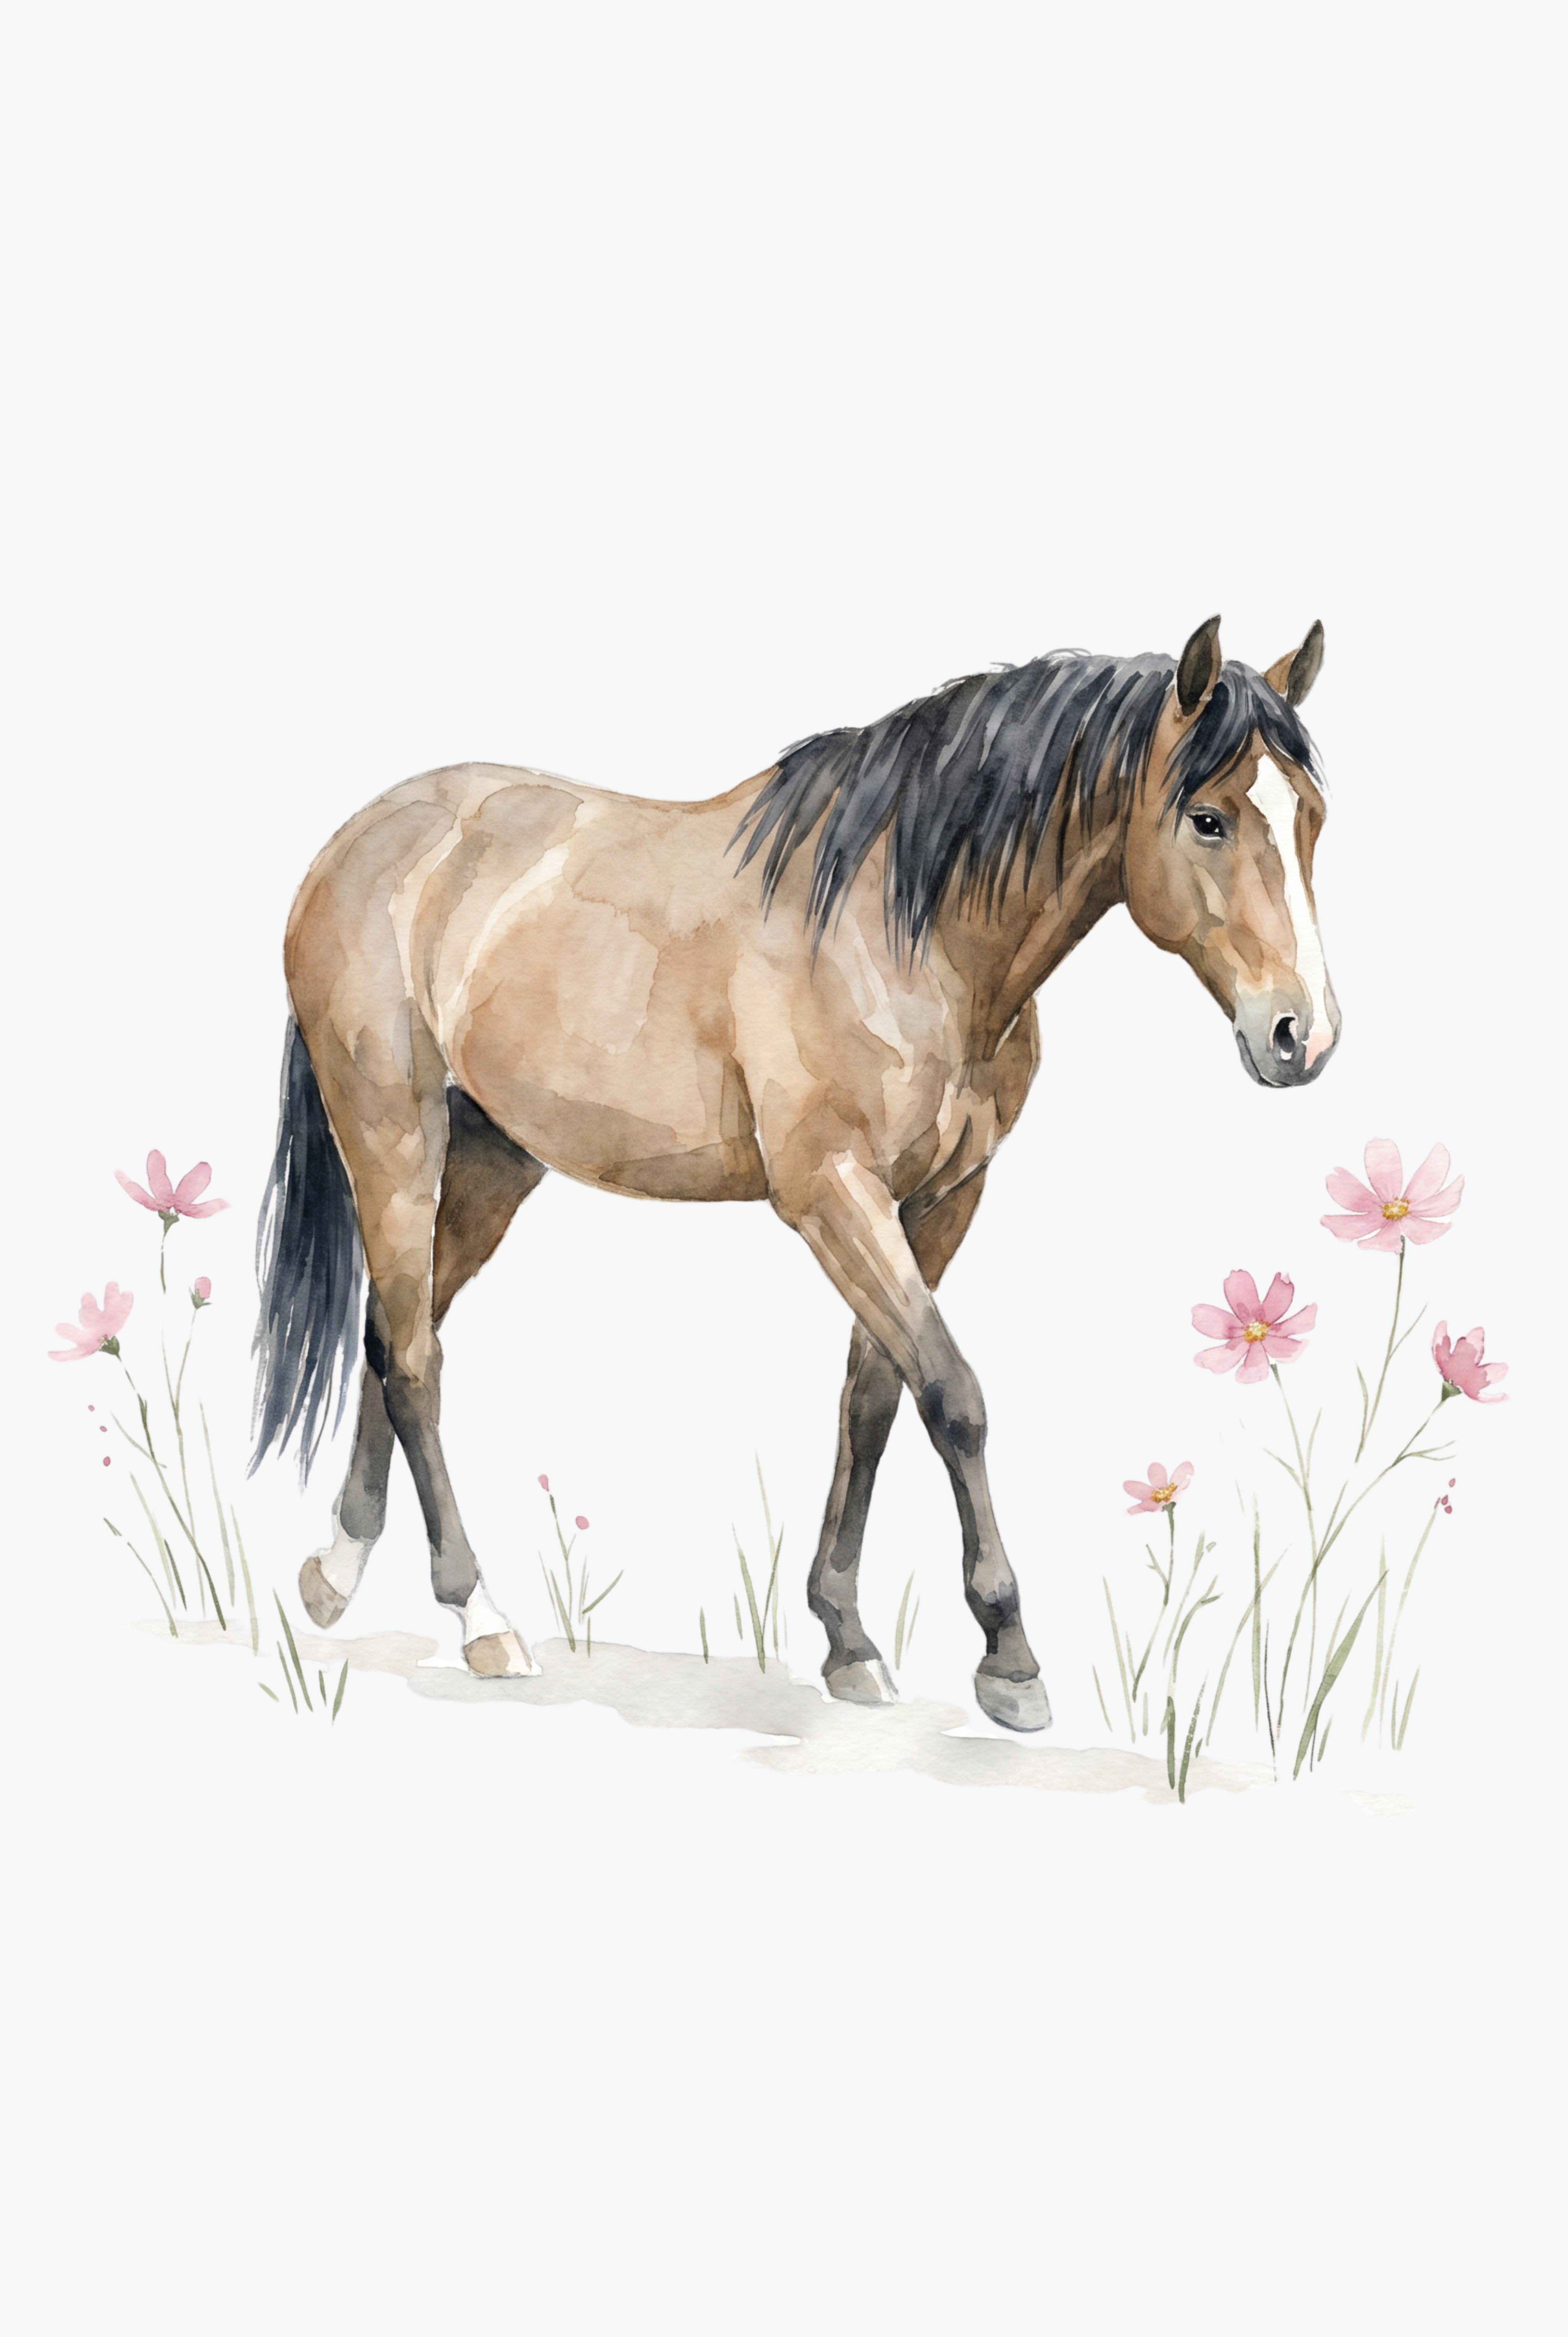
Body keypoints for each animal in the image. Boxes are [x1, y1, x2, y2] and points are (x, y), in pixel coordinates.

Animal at [252, 614, 1337, 1731]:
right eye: (1208, 818)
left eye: (1311, 817)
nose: (1299, 1035)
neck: (905, 928)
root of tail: (358, 841)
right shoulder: (832, 1194)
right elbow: (953, 1395)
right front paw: (1009, 1659)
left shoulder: (938, 1202)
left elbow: (873, 1396)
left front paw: (847, 1636)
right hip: (392, 1132)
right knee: (417, 1358)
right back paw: (481, 1619)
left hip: (492, 1159)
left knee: (393, 1332)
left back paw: (335, 1572)